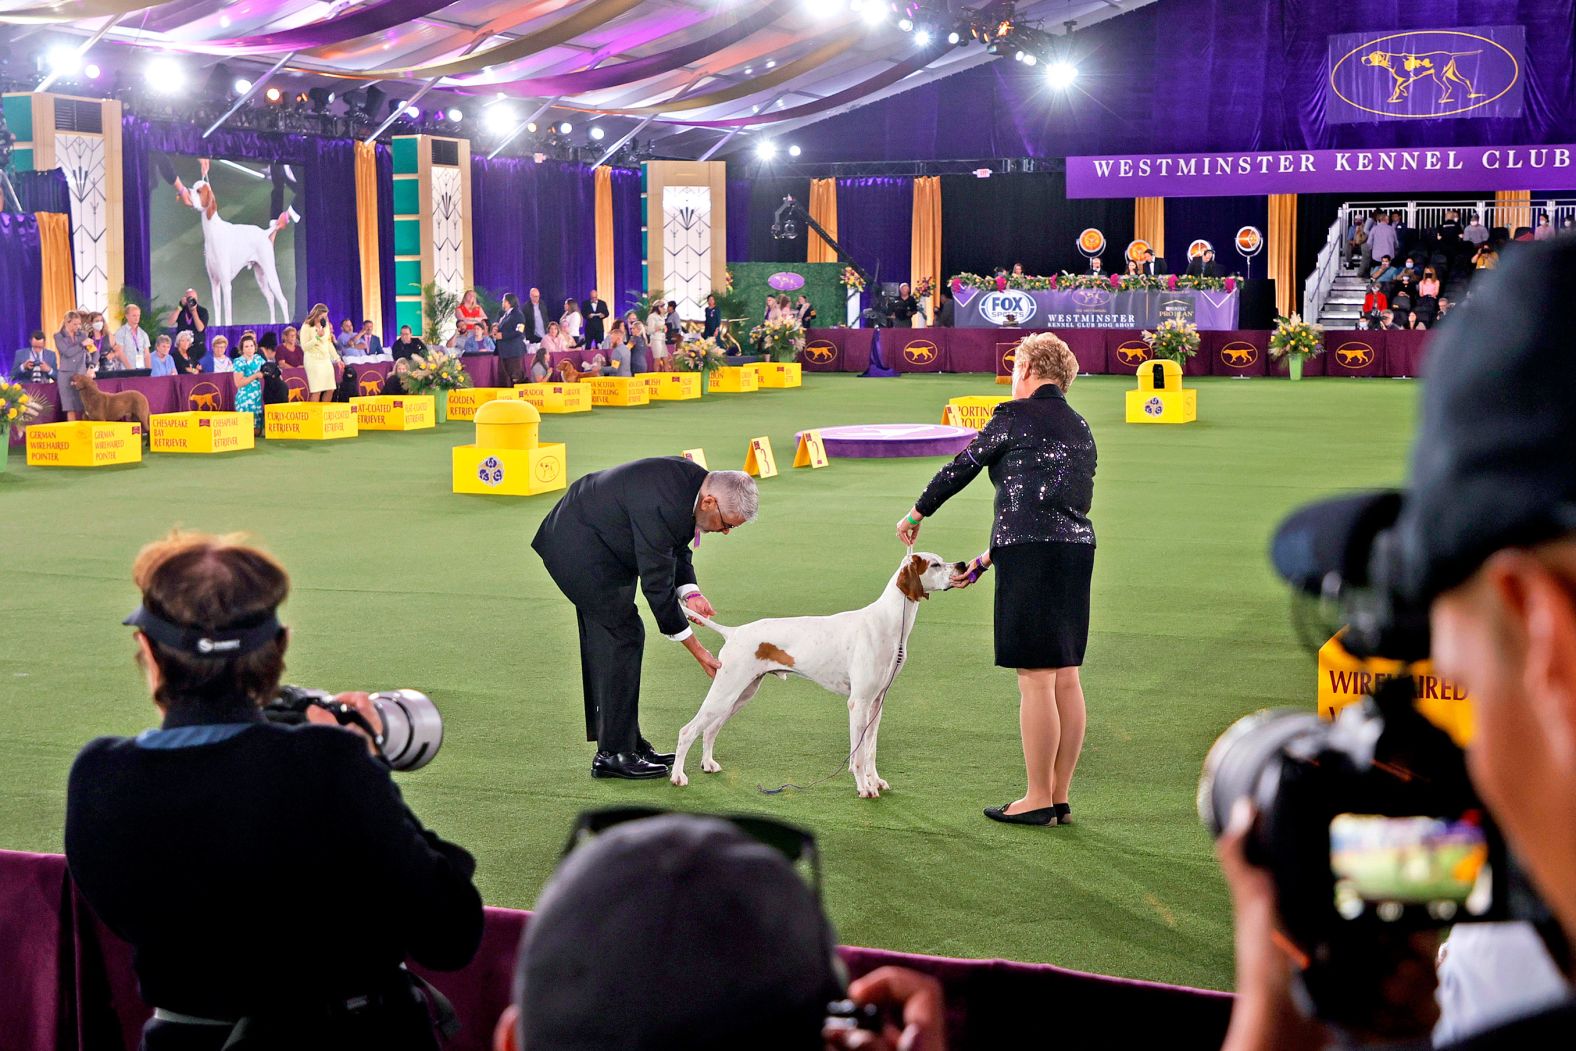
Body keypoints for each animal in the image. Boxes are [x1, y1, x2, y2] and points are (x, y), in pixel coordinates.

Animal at [668, 554, 958, 794]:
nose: (962, 565)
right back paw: (678, 776)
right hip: (724, 692)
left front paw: (875, 781)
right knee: (687, 731)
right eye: (935, 564)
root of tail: (734, 632)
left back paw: (708, 764)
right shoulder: (859, 703)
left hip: (740, 695)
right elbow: (859, 756)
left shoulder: (876, 703)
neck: (888, 623)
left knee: (709, 730)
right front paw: (864, 788)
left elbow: (871, 750)